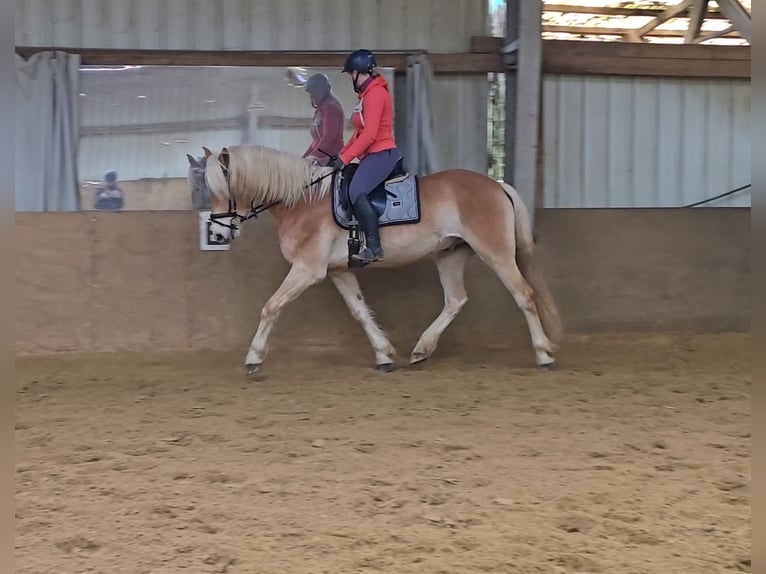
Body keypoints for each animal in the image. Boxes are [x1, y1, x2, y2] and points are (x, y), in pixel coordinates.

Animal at [188, 144, 564, 378]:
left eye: (222, 189)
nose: (217, 234)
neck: (303, 201)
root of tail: (497, 186)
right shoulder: (338, 271)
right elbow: (360, 312)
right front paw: (384, 355)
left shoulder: (308, 270)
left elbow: (271, 306)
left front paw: (253, 358)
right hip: (449, 254)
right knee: (456, 300)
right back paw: (421, 350)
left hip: (495, 252)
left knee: (524, 296)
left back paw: (544, 354)